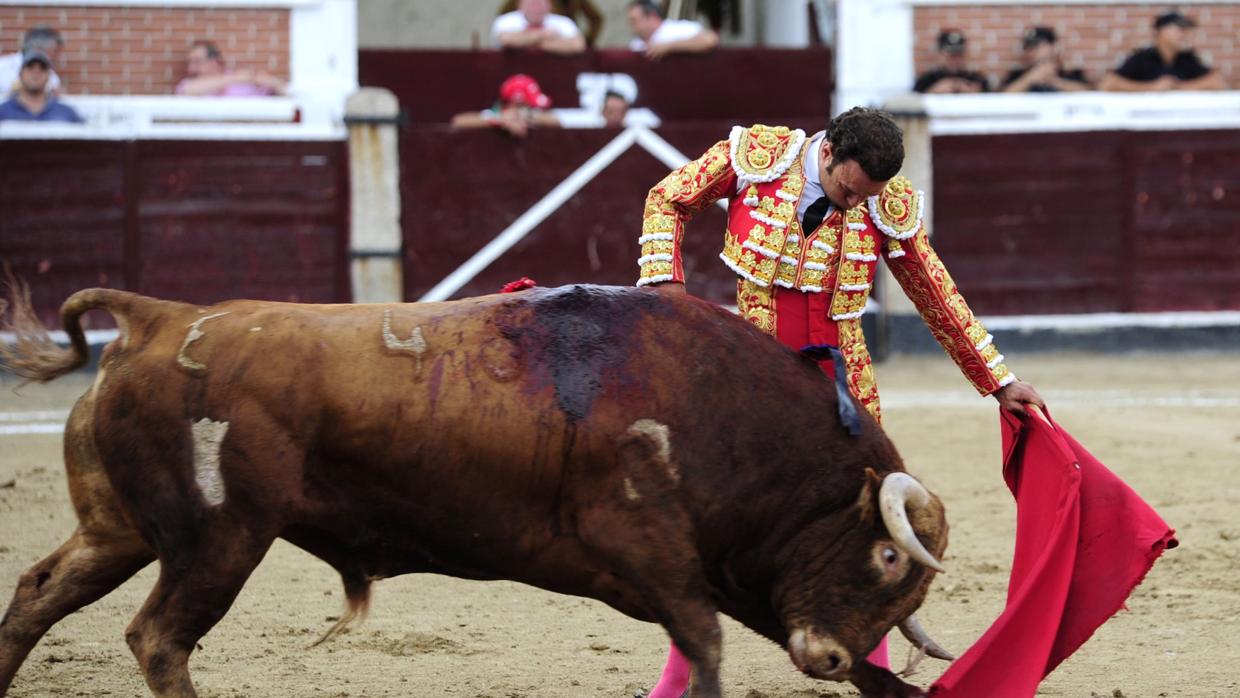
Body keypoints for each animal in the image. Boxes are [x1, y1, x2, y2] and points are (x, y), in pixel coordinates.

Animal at [0, 283, 947, 698]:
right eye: (886, 556)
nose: (828, 658)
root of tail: (159, 317)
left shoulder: (719, 571)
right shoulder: (652, 544)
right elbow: (706, 645)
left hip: (123, 529)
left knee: (42, 590)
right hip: (219, 538)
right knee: (159, 637)